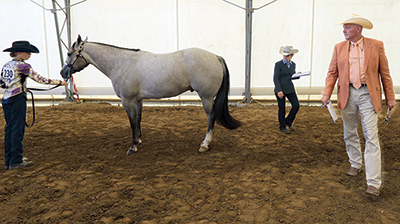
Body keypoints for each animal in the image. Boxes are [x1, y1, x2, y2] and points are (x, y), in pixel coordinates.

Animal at [59, 36, 241, 155]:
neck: (121, 63)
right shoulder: (138, 100)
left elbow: (132, 122)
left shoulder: (127, 101)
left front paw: (133, 146)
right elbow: (138, 120)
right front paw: (138, 140)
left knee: (211, 118)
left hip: (206, 98)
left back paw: (205, 144)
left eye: (69, 53)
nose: (62, 73)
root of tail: (215, 57)